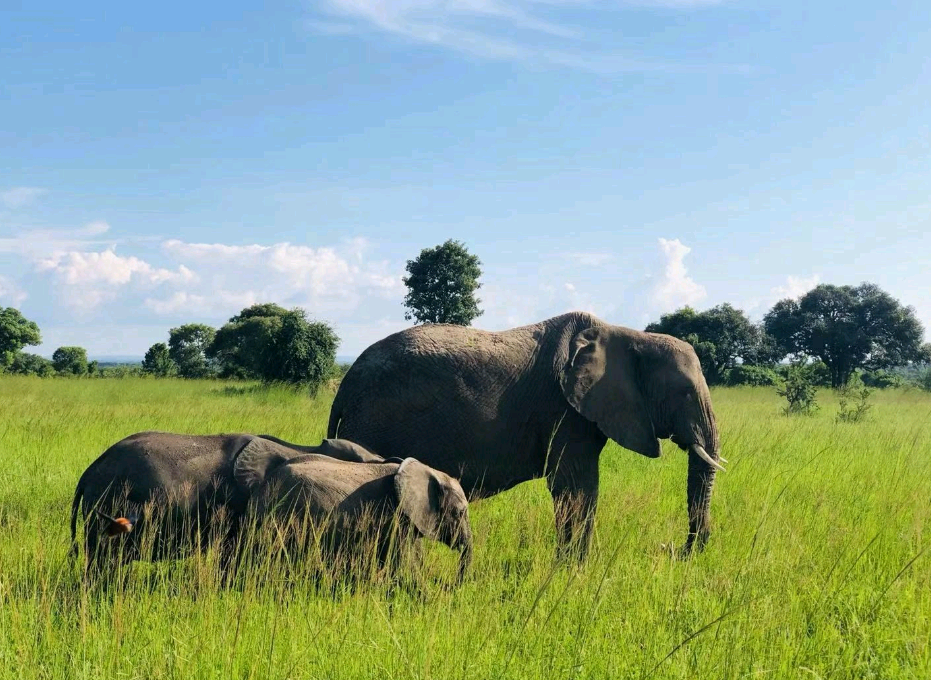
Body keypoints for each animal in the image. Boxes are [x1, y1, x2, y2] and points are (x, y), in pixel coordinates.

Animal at [237, 448, 476, 580]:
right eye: (459, 512)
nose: (451, 585)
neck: (427, 471)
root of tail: (262, 489)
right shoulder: (396, 519)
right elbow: (407, 565)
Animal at [330, 310, 728, 560]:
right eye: (684, 393)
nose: (671, 549)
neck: (628, 335)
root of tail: (345, 384)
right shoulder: (563, 409)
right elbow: (575, 487)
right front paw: (574, 570)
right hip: (372, 423)